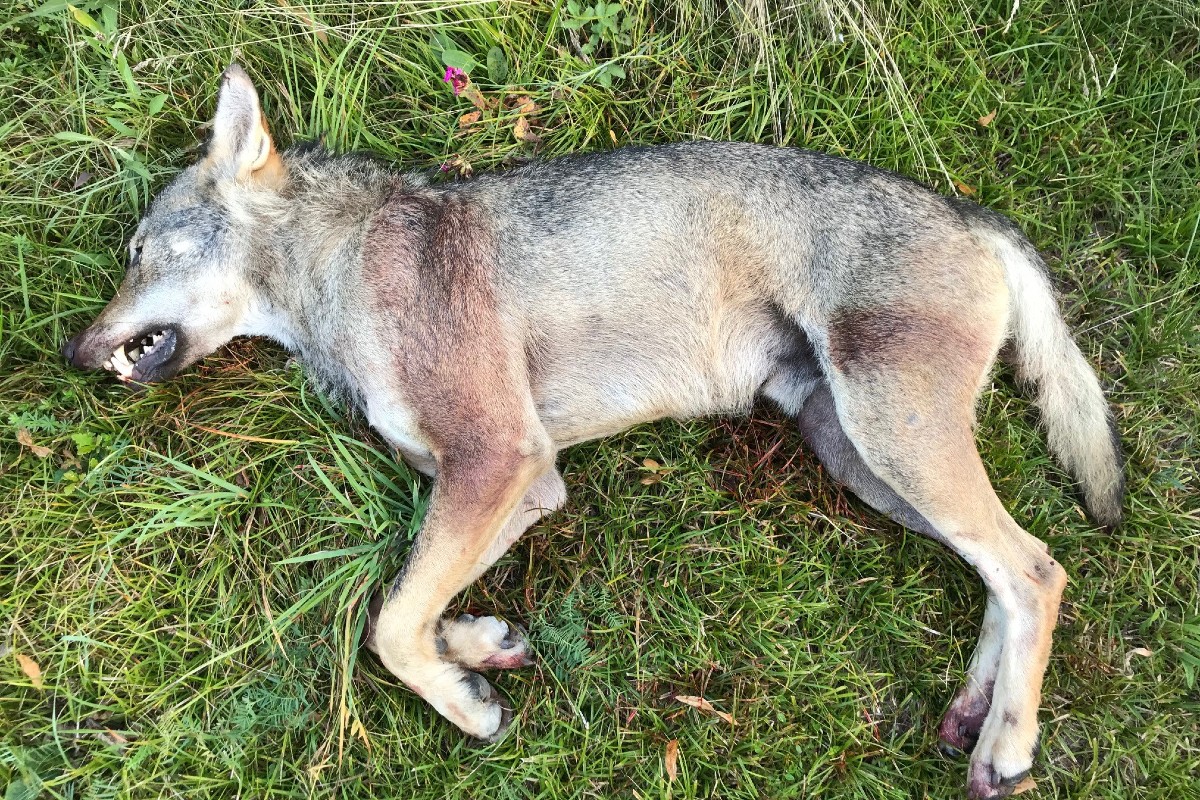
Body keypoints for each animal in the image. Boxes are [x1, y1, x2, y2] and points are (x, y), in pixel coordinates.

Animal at [62, 65, 1123, 798]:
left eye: (139, 251)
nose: (73, 353)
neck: (341, 268)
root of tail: (974, 215)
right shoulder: (522, 483)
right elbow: (409, 606)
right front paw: (483, 647)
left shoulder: (496, 460)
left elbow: (389, 626)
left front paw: (467, 705)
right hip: (866, 460)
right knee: (1005, 574)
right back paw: (974, 717)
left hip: (894, 441)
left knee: (1038, 568)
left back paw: (1009, 745)